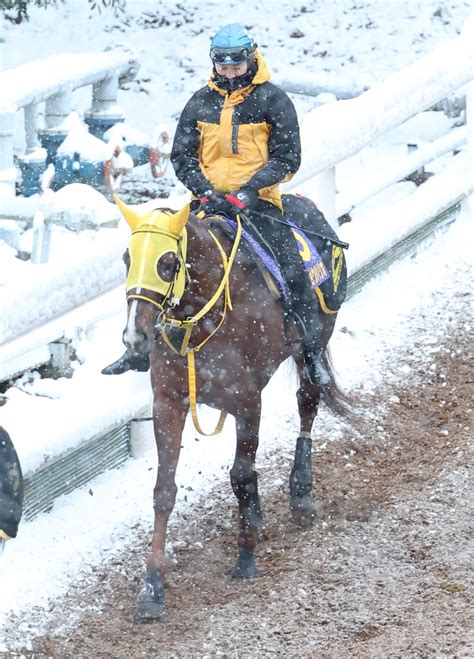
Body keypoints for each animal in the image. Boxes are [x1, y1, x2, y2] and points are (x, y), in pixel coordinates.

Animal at [115, 192, 350, 624]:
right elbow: (164, 491)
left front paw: (245, 557)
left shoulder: (247, 399)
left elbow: (240, 475)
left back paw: (300, 494)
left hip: (314, 344)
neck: (203, 318)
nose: (134, 337)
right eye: (127, 257)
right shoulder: (167, 403)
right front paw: (152, 587)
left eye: (167, 262)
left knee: (307, 404)